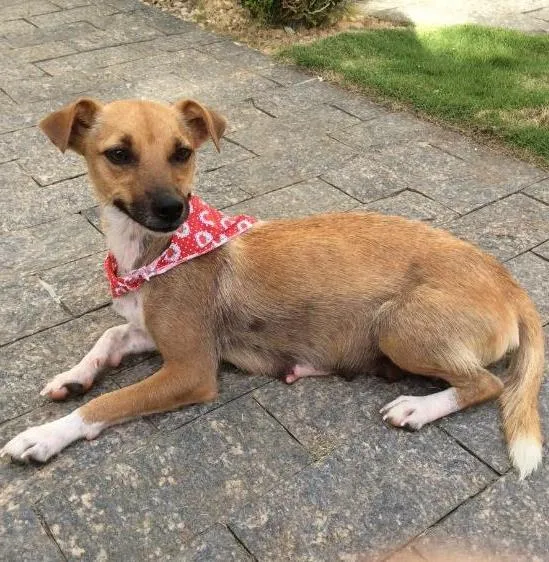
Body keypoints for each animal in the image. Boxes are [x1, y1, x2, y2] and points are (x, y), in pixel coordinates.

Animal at [1, 98, 544, 478]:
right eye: (117, 154)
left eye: (183, 153)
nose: (174, 210)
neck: (154, 254)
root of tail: (510, 282)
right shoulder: (155, 334)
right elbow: (109, 336)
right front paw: (73, 376)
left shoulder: (191, 369)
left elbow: (105, 405)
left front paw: (44, 436)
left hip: (399, 324)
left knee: (487, 384)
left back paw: (417, 407)